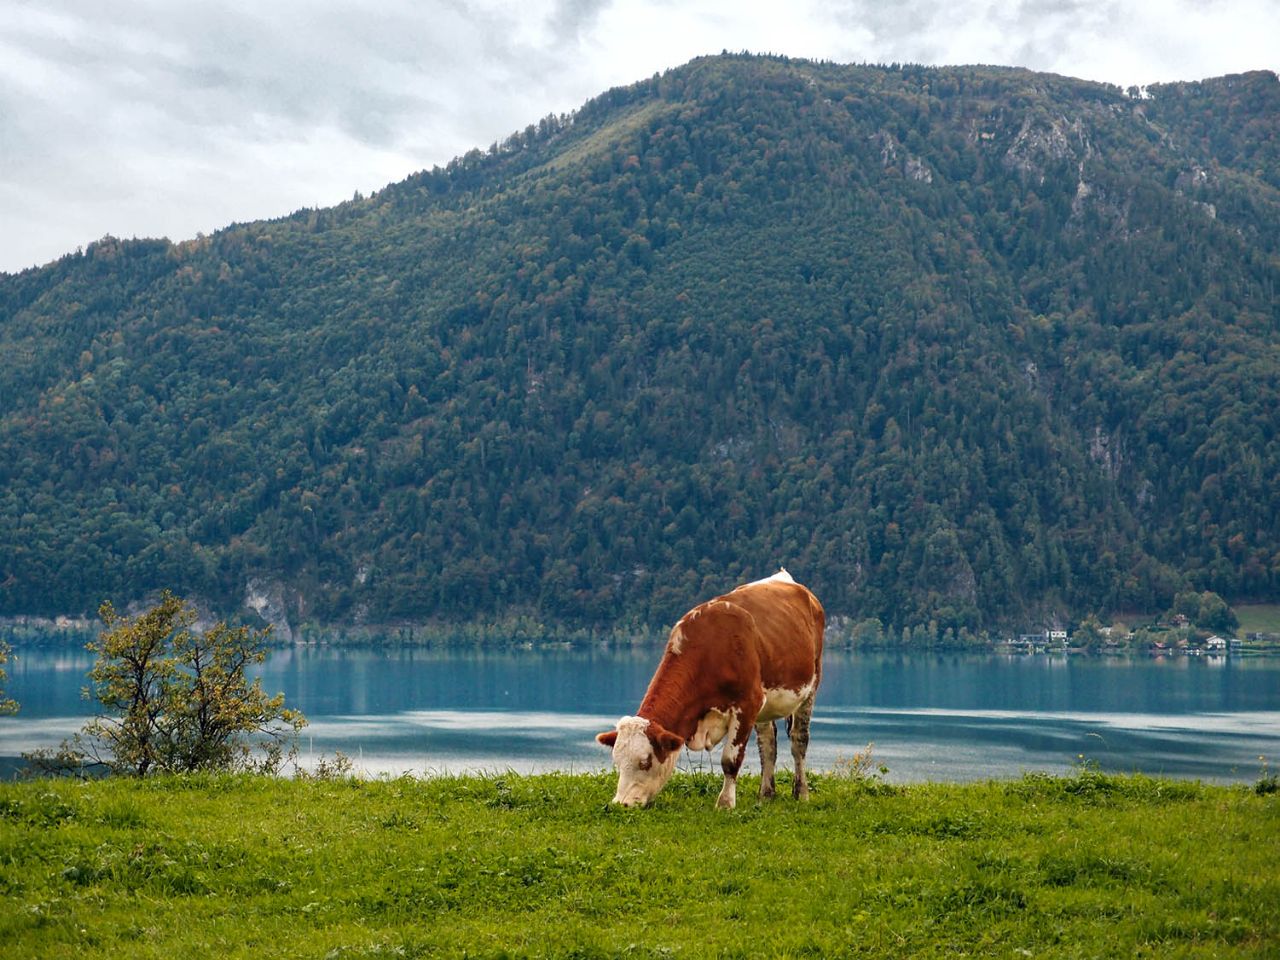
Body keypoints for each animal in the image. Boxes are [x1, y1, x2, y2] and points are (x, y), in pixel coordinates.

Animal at [593, 570, 824, 814]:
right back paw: (765, 795)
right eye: (617, 762)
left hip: (810, 688)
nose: (621, 803)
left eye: (645, 761)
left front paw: (725, 803)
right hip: (767, 704)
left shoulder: (747, 704)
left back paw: (802, 793)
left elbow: (730, 760)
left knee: (799, 741)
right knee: (768, 745)